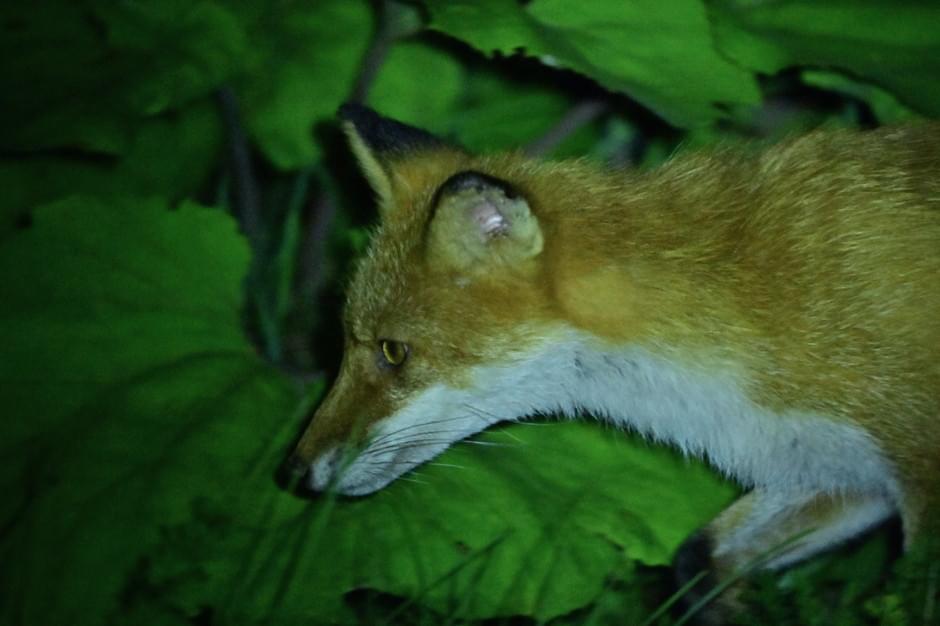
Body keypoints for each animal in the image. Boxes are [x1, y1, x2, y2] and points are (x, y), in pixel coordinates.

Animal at [290, 103, 936, 620]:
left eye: (393, 352)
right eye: (345, 342)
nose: (293, 473)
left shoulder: (916, 479)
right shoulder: (839, 477)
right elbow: (697, 560)